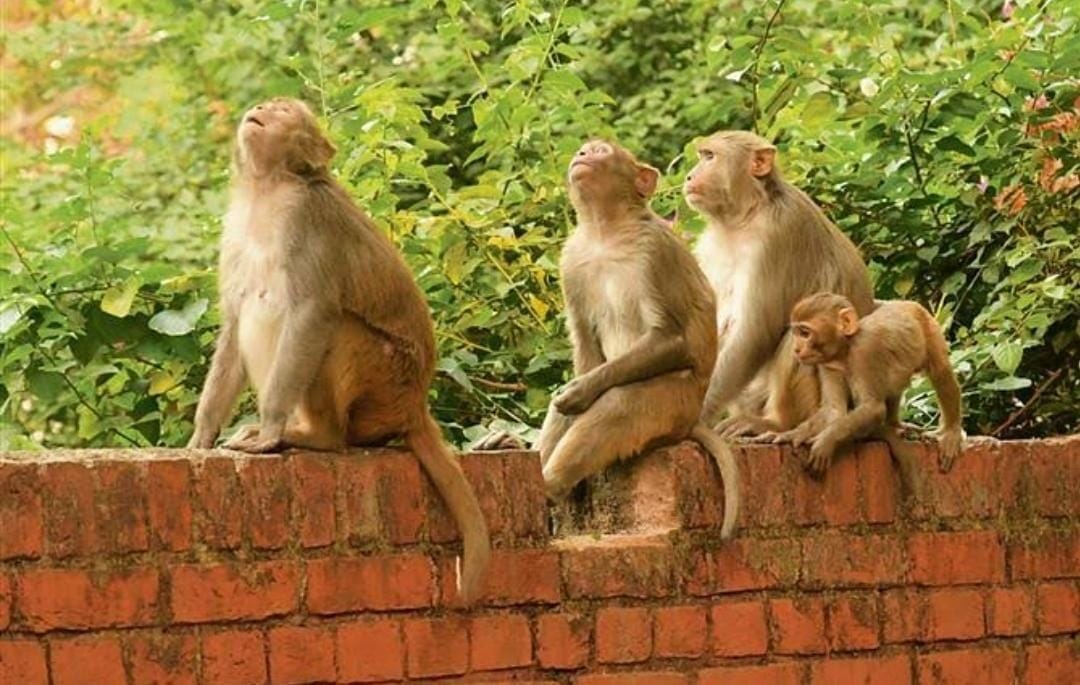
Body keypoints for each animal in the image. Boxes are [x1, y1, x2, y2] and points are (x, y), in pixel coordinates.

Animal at [186, 97, 490, 603]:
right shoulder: (235, 231)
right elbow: (233, 321)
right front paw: (201, 436)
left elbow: (312, 311)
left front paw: (270, 429)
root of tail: (416, 405)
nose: (264, 105)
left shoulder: (307, 218)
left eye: (284, 109)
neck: (268, 189)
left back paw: (316, 434)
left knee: (337, 327)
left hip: (386, 380)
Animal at [479, 139, 739, 538]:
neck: (606, 231)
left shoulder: (655, 251)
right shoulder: (571, 261)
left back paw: (550, 484)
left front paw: (581, 391)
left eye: (601, 150)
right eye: (586, 149)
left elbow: (671, 338)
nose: (584, 154)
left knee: (621, 401)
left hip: (675, 406)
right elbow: (586, 348)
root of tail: (690, 421)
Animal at [683, 130, 875, 465]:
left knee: (794, 336)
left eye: (709, 156)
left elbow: (756, 331)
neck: (745, 215)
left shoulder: (777, 235)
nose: (690, 175)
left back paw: (775, 423)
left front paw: (698, 416)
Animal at [789, 292, 965, 475]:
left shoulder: (865, 351)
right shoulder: (828, 364)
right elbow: (834, 410)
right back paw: (894, 425)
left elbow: (873, 407)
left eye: (805, 333)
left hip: (929, 326)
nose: (796, 349)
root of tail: (904, 303)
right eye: (797, 333)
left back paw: (950, 431)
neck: (846, 348)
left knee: (940, 371)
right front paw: (796, 433)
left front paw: (826, 441)